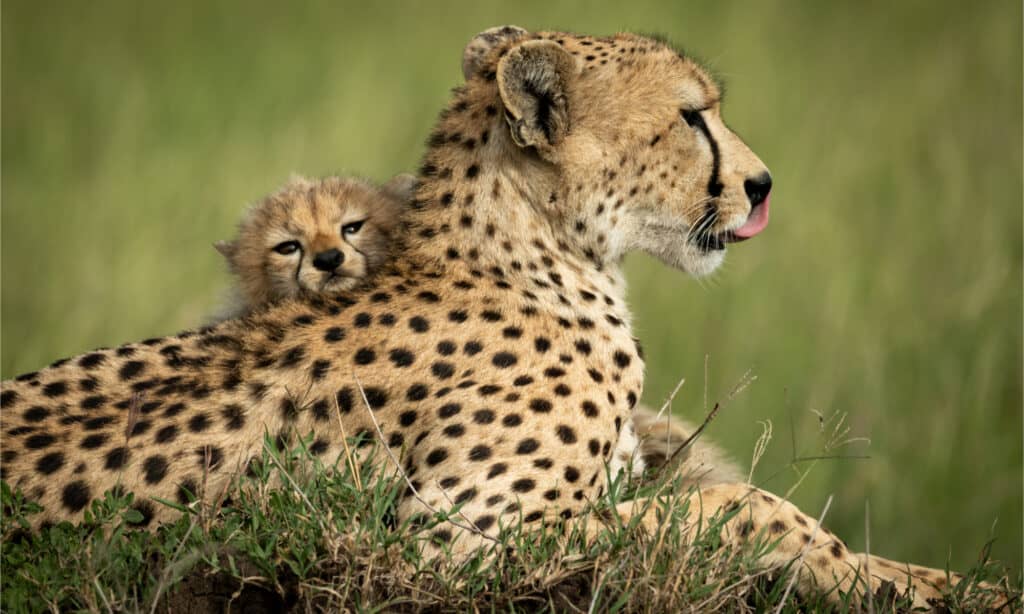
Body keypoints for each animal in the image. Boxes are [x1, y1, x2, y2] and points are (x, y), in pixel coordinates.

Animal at [0, 25, 999, 609]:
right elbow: (736, 507)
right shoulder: (450, 541)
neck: (539, 253)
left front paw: (941, 581)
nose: (759, 186)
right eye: (691, 117)